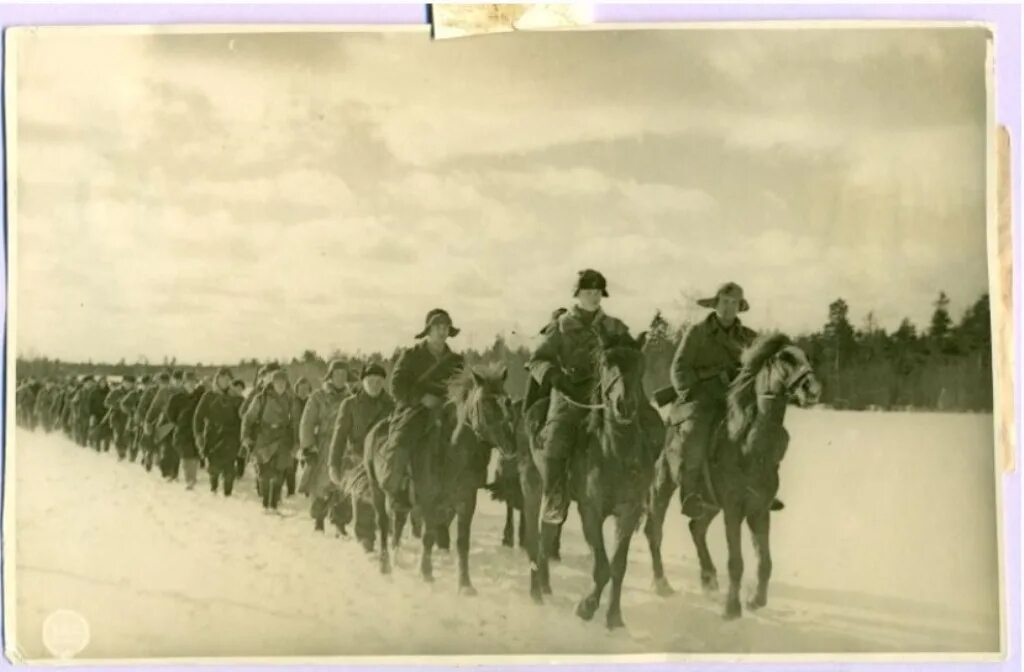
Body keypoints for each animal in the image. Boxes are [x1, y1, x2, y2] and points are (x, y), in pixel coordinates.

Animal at [364, 362, 516, 594]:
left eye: (507, 401)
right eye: (485, 402)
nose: (510, 444)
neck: (452, 452)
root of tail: (374, 430)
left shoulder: (466, 502)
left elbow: (462, 542)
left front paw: (465, 584)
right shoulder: (429, 502)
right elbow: (428, 537)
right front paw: (426, 574)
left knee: (397, 523)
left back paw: (396, 559)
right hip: (377, 490)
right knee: (382, 524)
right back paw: (385, 566)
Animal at [528, 333, 663, 626]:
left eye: (640, 363)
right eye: (605, 362)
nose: (624, 405)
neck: (615, 452)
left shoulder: (629, 512)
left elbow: (618, 565)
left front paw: (614, 616)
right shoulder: (590, 511)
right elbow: (601, 566)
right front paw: (586, 607)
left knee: (548, 533)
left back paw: (545, 584)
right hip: (536, 486)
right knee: (539, 535)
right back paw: (536, 590)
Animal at [643, 333, 819, 622]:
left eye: (806, 355)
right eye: (784, 357)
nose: (813, 389)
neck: (748, 446)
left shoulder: (759, 510)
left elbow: (765, 562)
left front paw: (755, 601)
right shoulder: (734, 509)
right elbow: (736, 562)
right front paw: (731, 608)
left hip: (710, 504)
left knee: (696, 528)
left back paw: (709, 580)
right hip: (664, 484)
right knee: (654, 530)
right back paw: (662, 584)